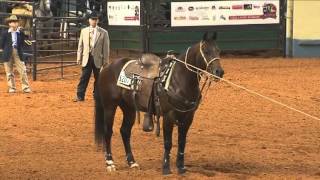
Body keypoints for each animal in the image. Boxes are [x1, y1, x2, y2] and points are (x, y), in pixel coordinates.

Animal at [95, 32, 225, 174]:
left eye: (218, 50)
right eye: (206, 51)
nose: (219, 72)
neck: (178, 80)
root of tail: (107, 67)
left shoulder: (188, 117)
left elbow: (182, 142)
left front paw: (181, 167)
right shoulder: (169, 116)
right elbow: (168, 143)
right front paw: (166, 168)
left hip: (129, 108)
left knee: (125, 131)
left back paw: (132, 162)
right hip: (109, 106)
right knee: (108, 132)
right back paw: (110, 163)